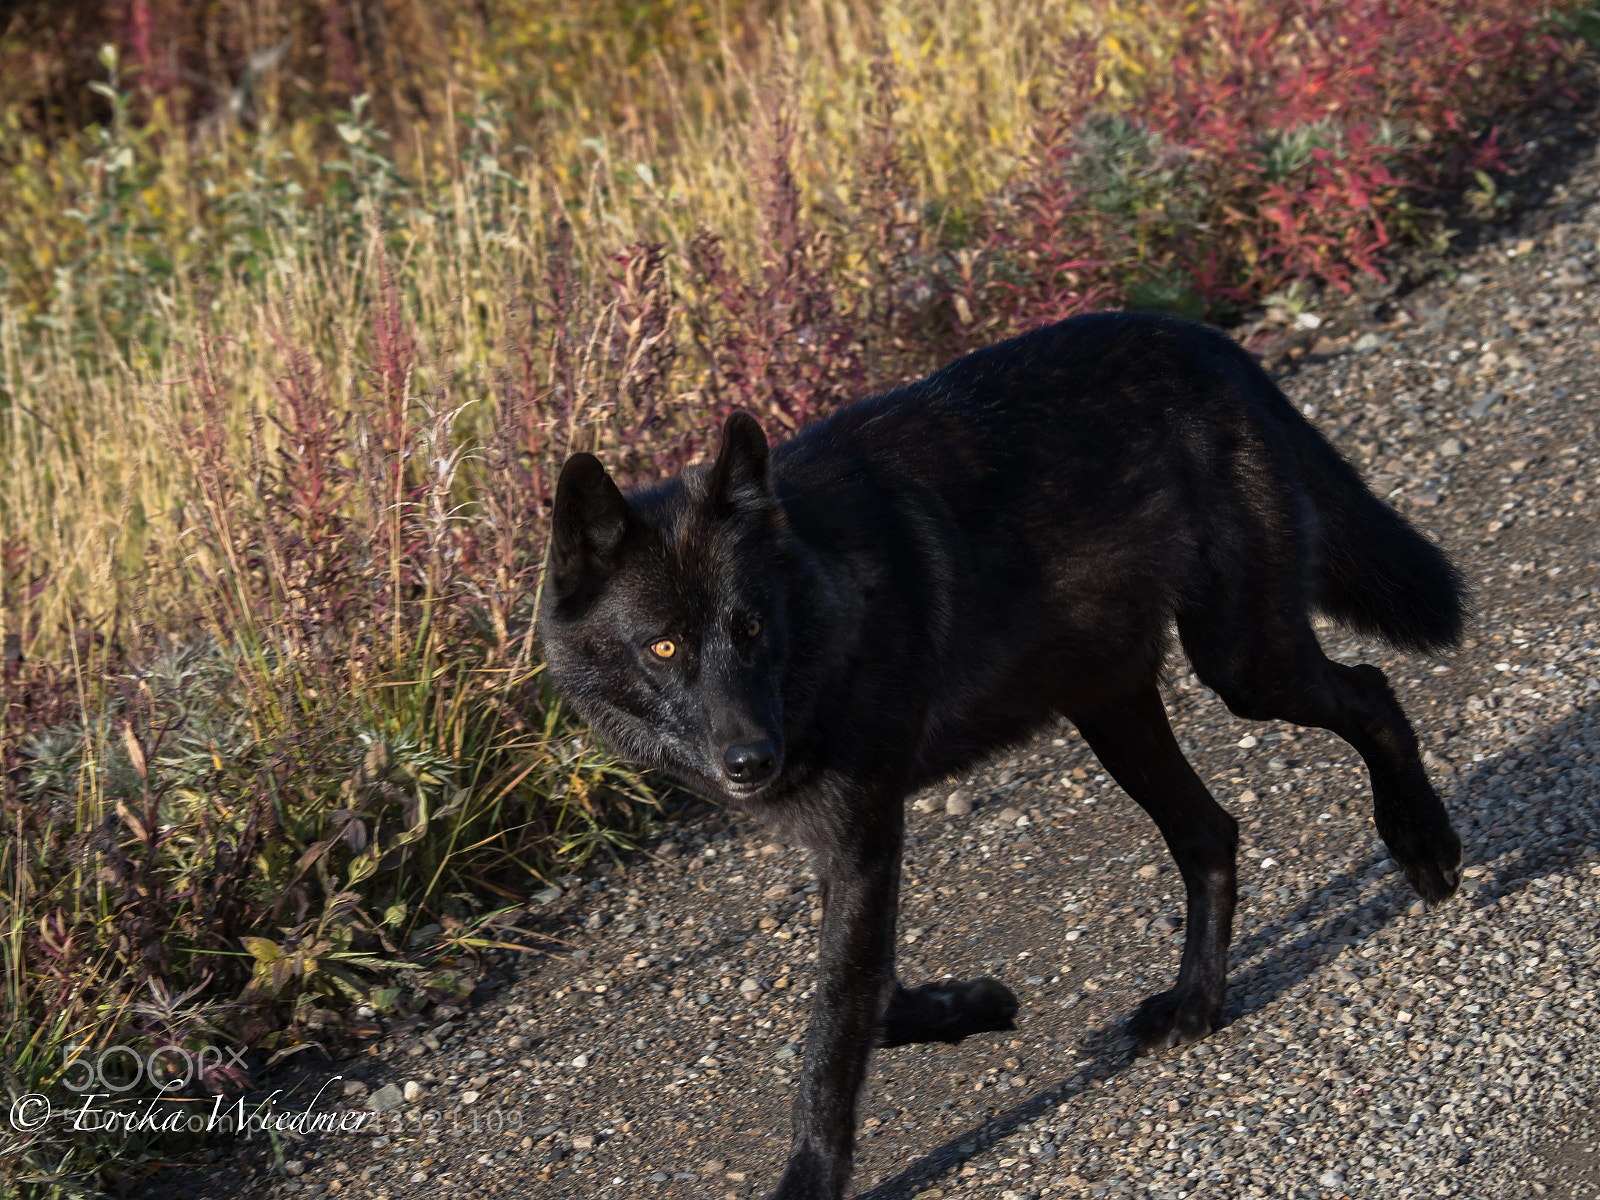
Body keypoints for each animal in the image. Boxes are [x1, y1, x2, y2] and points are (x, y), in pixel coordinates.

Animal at [536, 310, 1465, 1200]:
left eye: (752, 628)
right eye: (663, 648)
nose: (751, 761)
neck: (829, 594)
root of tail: (1197, 336)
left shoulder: (865, 838)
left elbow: (835, 1031)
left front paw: (810, 1179)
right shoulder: (848, 850)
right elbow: (872, 998)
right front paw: (973, 1005)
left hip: (1243, 668)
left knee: (1372, 692)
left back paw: (1424, 846)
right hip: (1114, 710)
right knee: (1211, 833)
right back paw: (1196, 1003)